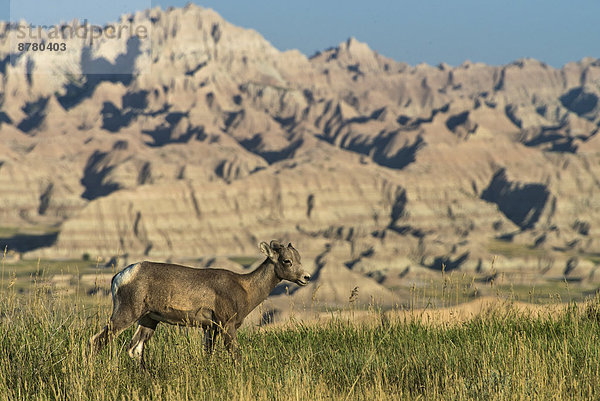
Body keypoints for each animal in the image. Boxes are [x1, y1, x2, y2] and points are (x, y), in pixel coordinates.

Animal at [92, 239, 314, 364]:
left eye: (299, 259)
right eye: (287, 261)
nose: (306, 277)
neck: (245, 287)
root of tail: (120, 276)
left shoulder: (211, 329)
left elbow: (209, 354)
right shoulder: (226, 326)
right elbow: (236, 356)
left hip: (148, 320)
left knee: (135, 350)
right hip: (126, 315)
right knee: (96, 341)